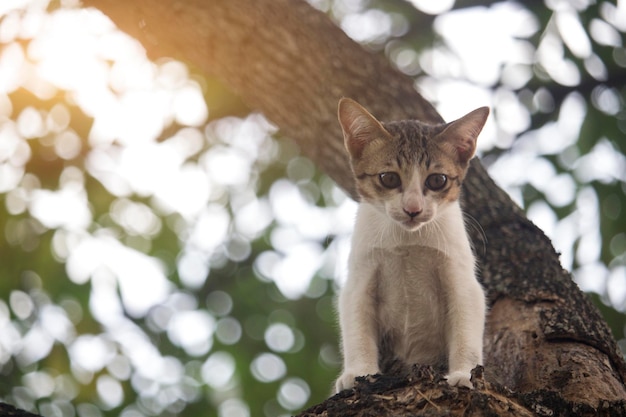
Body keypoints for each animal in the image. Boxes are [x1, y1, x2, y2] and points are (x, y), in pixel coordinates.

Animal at [332, 97, 488, 390]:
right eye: (389, 178)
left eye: (437, 180)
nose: (413, 209)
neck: (407, 241)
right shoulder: (360, 279)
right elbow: (358, 328)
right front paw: (358, 373)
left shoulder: (461, 279)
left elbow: (466, 324)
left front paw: (464, 373)